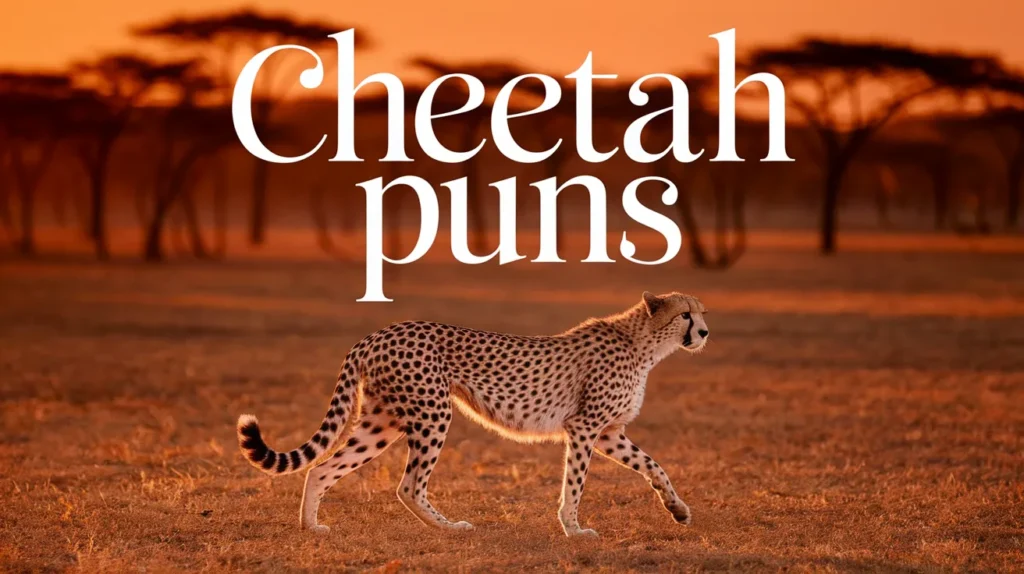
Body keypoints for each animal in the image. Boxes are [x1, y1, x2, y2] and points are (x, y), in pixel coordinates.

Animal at [236, 291, 709, 537]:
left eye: (702, 313)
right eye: (685, 314)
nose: (705, 332)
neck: (645, 344)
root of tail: (378, 332)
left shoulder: (609, 432)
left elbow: (655, 466)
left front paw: (678, 510)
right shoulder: (585, 428)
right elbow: (575, 483)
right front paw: (573, 529)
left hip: (381, 420)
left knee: (322, 467)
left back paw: (310, 527)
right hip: (432, 413)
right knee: (408, 485)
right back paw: (450, 528)